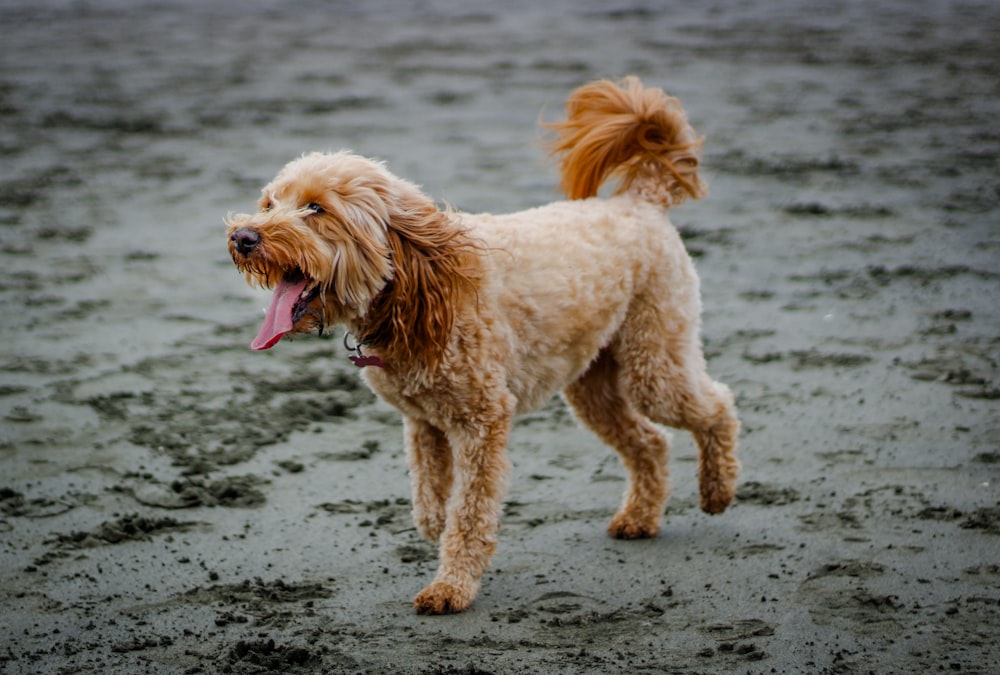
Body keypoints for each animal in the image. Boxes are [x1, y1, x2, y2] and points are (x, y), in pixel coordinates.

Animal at [229, 76, 744, 616]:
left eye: (316, 209)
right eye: (269, 204)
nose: (243, 237)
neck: (413, 285)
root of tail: (640, 201)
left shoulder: (483, 419)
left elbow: (470, 511)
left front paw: (450, 586)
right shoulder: (423, 422)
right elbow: (431, 497)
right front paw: (436, 528)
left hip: (654, 358)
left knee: (717, 407)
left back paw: (717, 490)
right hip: (591, 383)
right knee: (650, 441)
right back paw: (641, 516)